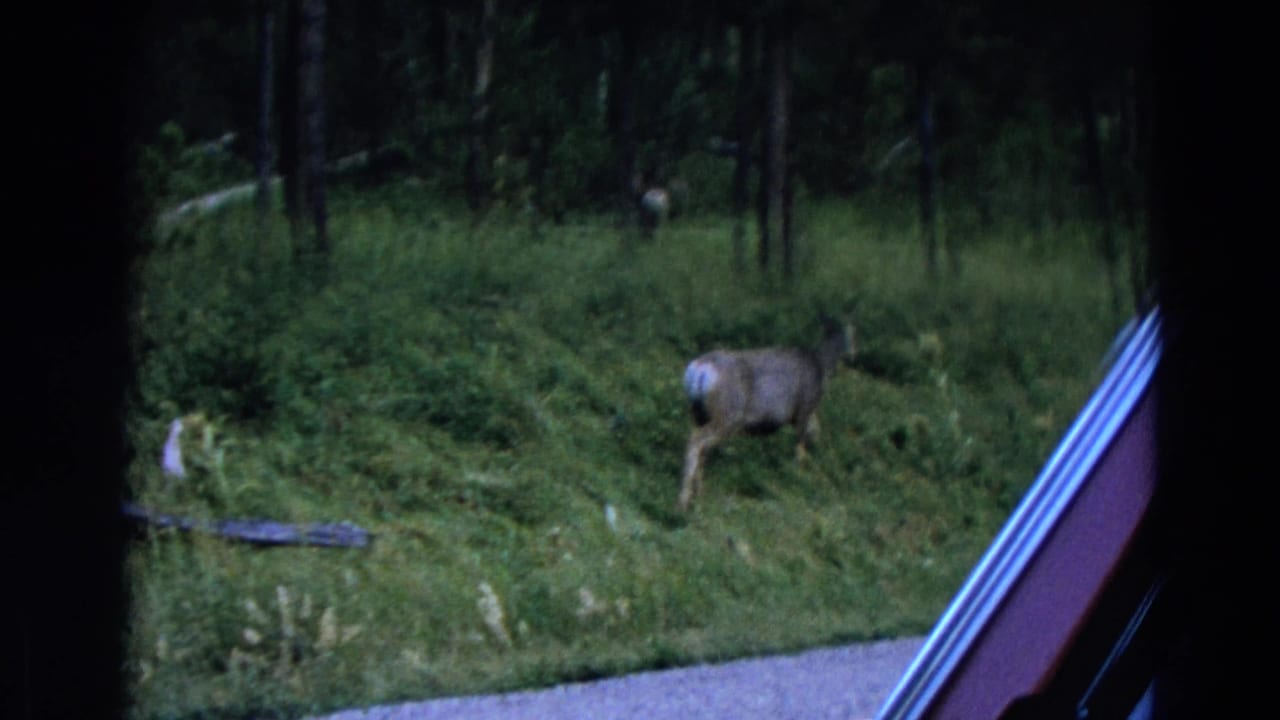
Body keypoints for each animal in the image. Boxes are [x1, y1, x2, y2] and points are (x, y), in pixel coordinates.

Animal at [677, 317, 857, 511]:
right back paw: (685, 501)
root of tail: (699, 369)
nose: (854, 354)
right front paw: (799, 476)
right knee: (697, 442)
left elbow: (814, 435)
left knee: (700, 448)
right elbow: (801, 447)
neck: (821, 366)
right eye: (854, 334)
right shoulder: (804, 409)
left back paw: (697, 495)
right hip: (727, 416)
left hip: (698, 413)